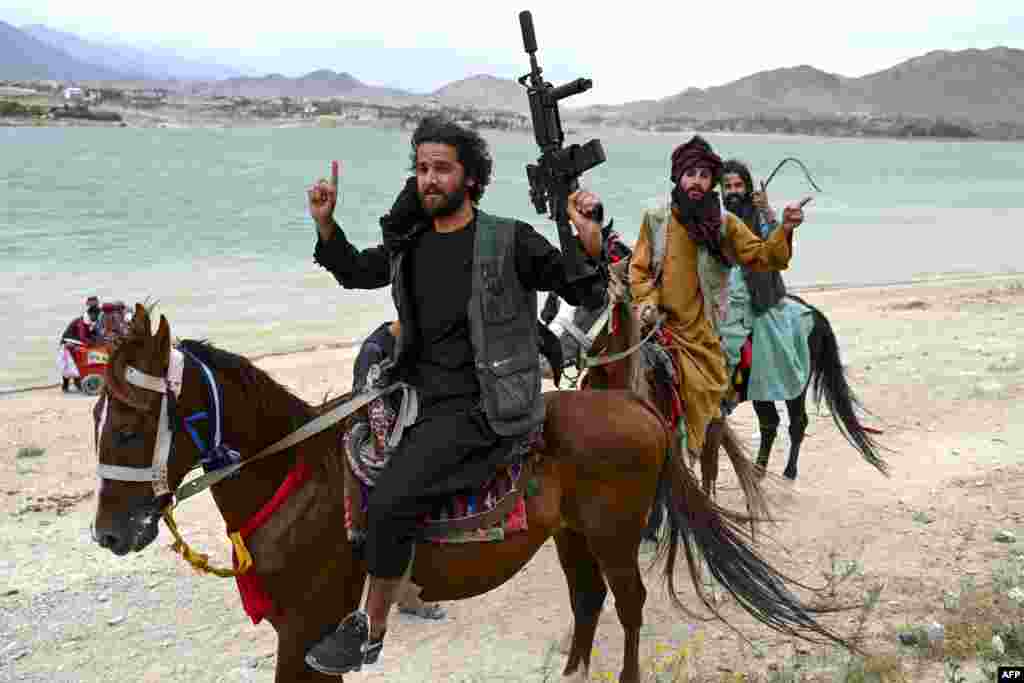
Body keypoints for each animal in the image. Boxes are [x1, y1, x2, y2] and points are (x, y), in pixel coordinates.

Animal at [90, 307, 856, 683]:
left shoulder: (309, 629)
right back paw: (570, 674)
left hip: (613, 534)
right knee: (589, 600)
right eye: (98, 416)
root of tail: (638, 408)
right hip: (572, 536)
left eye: (128, 425)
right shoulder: (300, 631)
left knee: (629, 604)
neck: (295, 476)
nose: (109, 534)